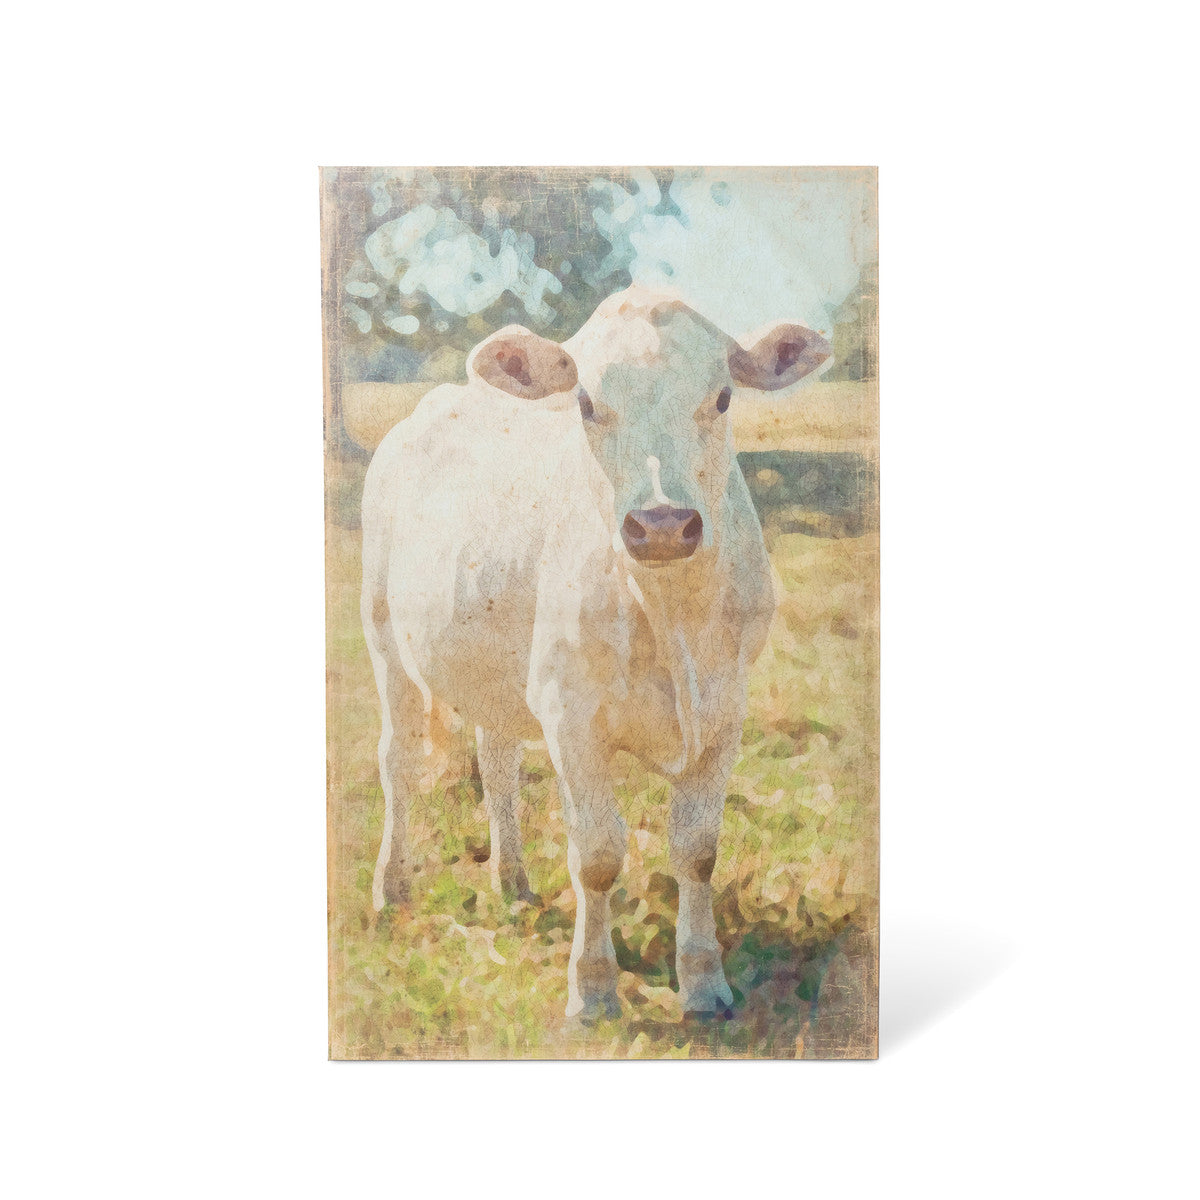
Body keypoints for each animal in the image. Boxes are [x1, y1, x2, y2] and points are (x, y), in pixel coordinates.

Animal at [360, 287, 831, 1018]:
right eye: (584, 402)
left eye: (723, 396)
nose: (662, 524)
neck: (668, 616)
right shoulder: (570, 715)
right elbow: (598, 853)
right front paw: (594, 990)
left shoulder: (726, 711)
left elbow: (698, 848)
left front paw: (704, 982)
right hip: (385, 642)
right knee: (399, 764)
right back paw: (392, 889)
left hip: (497, 673)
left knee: (497, 766)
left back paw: (514, 883)